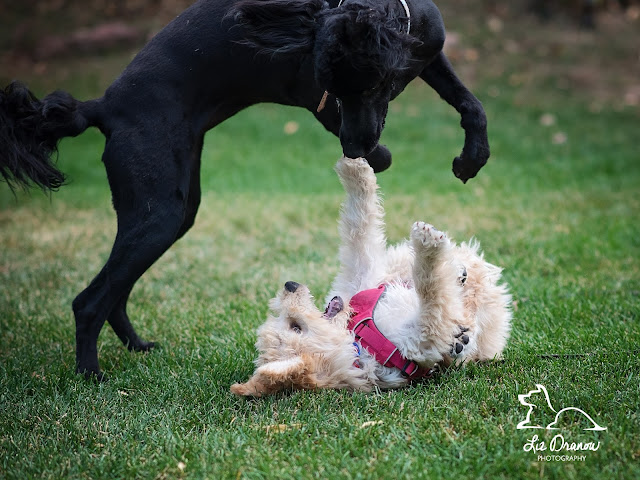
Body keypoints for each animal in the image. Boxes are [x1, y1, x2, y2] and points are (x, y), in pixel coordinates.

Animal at [0, 0, 489, 380]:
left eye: (369, 84)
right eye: (332, 87)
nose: (354, 148)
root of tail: (101, 107)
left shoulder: (428, 53)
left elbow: (470, 102)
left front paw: (474, 155)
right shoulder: (314, 97)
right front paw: (377, 160)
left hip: (171, 212)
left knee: (114, 288)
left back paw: (135, 346)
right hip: (159, 213)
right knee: (89, 301)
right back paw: (91, 376)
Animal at [231, 157, 511, 396]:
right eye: (295, 327)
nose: (290, 284)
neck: (358, 340)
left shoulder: (362, 273)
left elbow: (359, 225)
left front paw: (354, 168)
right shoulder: (424, 337)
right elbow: (430, 288)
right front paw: (428, 244)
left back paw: (458, 270)